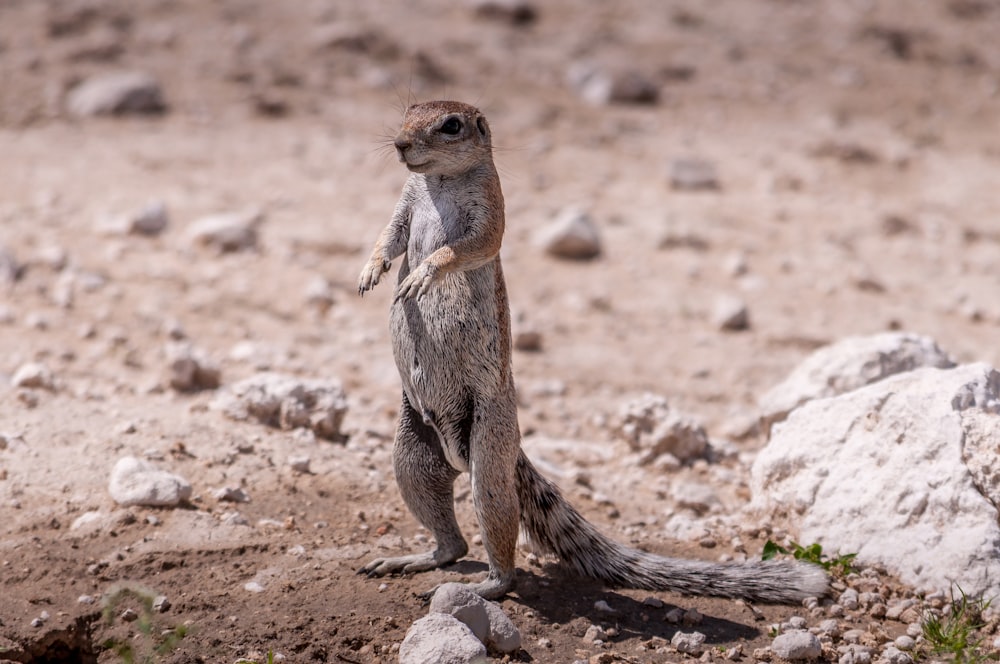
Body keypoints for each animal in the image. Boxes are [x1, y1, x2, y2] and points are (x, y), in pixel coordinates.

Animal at [356, 101, 824, 604]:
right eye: (408, 112)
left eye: (451, 125)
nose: (400, 144)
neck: (438, 181)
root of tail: (468, 452)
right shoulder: (404, 206)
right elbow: (389, 237)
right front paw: (370, 270)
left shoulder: (491, 211)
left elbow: (471, 246)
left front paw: (423, 273)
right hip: (411, 458)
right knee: (452, 541)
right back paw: (410, 560)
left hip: (490, 454)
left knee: (497, 542)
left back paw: (483, 586)